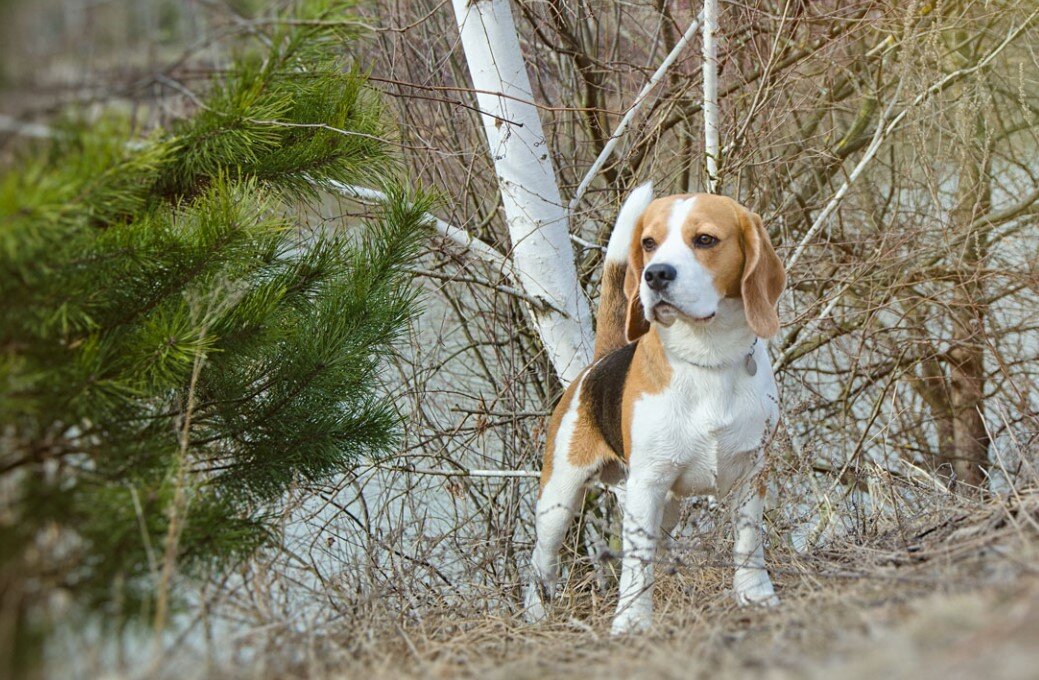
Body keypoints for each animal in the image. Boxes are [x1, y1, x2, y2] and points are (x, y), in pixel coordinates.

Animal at [523, 184, 781, 636]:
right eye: (648, 243)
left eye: (705, 240)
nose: (656, 274)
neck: (708, 358)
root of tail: (597, 363)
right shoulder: (648, 485)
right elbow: (636, 563)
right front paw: (631, 622)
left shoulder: (753, 473)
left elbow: (749, 543)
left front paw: (755, 595)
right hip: (560, 498)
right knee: (542, 559)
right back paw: (536, 613)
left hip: (664, 504)